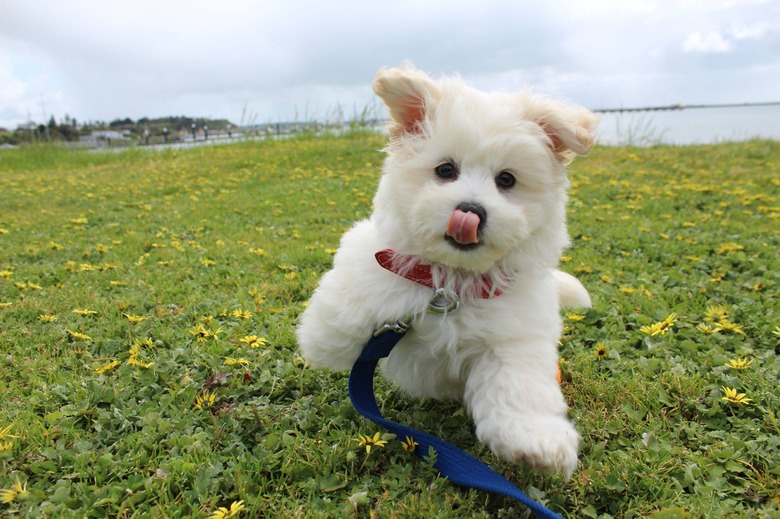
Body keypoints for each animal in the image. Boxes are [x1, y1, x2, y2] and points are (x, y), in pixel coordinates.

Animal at [298, 65, 596, 480]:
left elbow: (518, 386)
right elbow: (353, 299)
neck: (452, 284)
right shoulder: (380, 259)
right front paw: (322, 337)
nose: (470, 210)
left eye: (506, 180)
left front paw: (536, 441)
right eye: (445, 170)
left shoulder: (515, 338)